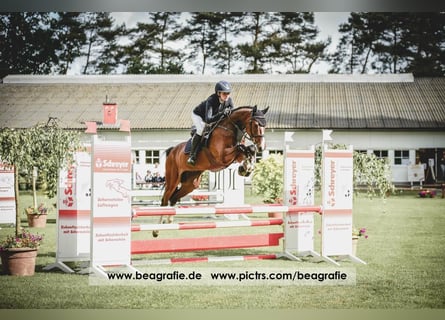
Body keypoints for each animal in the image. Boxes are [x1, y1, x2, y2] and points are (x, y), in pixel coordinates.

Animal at [153, 106, 268, 236]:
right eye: (256, 124)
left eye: (265, 125)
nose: (261, 147)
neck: (231, 128)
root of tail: (173, 150)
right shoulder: (222, 157)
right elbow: (242, 148)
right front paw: (245, 167)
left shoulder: (234, 157)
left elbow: (247, 150)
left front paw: (246, 168)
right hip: (173, 180)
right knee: (165, 200)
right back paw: (156, 230)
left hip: (191, 183)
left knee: (173, 198)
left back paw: (169, 220)